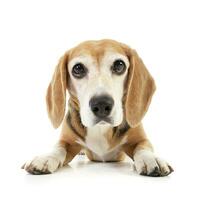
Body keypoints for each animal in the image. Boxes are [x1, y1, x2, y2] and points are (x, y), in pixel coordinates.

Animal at [22, 39, 173, 177]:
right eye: (78, 68)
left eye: (119, 65)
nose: (101, 104)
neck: (101, 129)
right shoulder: (66, 141)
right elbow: (58, 148)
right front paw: (46, 158)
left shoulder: (140, 139)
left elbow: (143, 148)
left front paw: (150, 158)